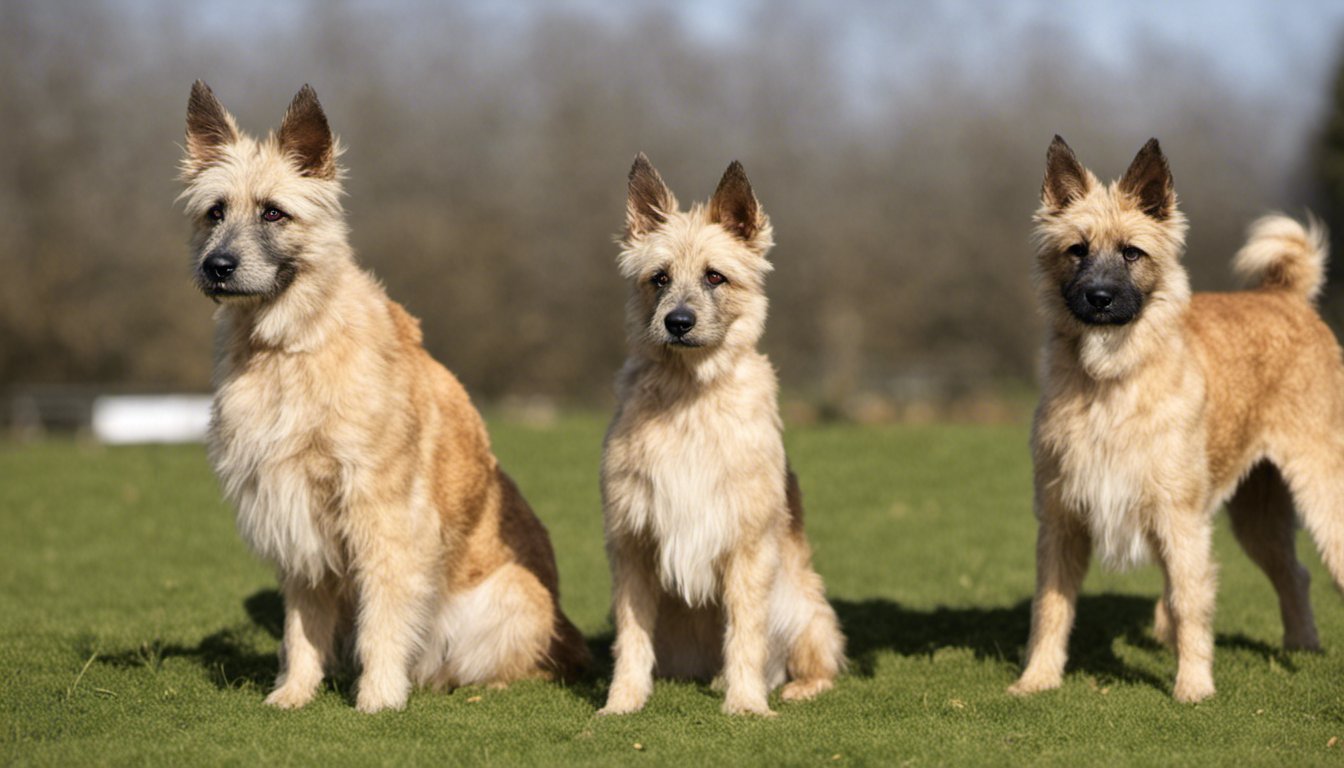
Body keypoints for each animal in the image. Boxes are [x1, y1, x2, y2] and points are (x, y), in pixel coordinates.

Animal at [176, 84, 585, 715]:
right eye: (215, 211)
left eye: (273, 212)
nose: (216, 267)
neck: (290, 346)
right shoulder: (293, 518)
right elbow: (301, 629)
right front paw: (294, 693)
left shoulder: (383, 513)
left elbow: (384, 618)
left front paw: (378, 697)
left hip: (513, 596)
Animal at [596, 153, 838, 720]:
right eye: (659, 278)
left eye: (715, 276)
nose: (678, 322)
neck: (691, 399)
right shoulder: (632, 543)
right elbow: (631, 637)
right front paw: (622, 701)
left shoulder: (747, 544)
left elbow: (746, 632)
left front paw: (746, 703)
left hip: (803, 606)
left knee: (814, 662)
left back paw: (788, 687)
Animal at [1010, 136, 1344, 704]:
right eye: (1077, 249)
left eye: (1131, 252)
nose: (1099, 298)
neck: (1112, 380)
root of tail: (1285, 295)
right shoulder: (1061, 518)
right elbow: (1050, 607)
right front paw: (1037, 680)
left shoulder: (1179, 518)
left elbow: (1190, 601)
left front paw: (1193, 687)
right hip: (1258, 514)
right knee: (1294, 574)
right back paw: (1302, 645)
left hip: (1321, 486)